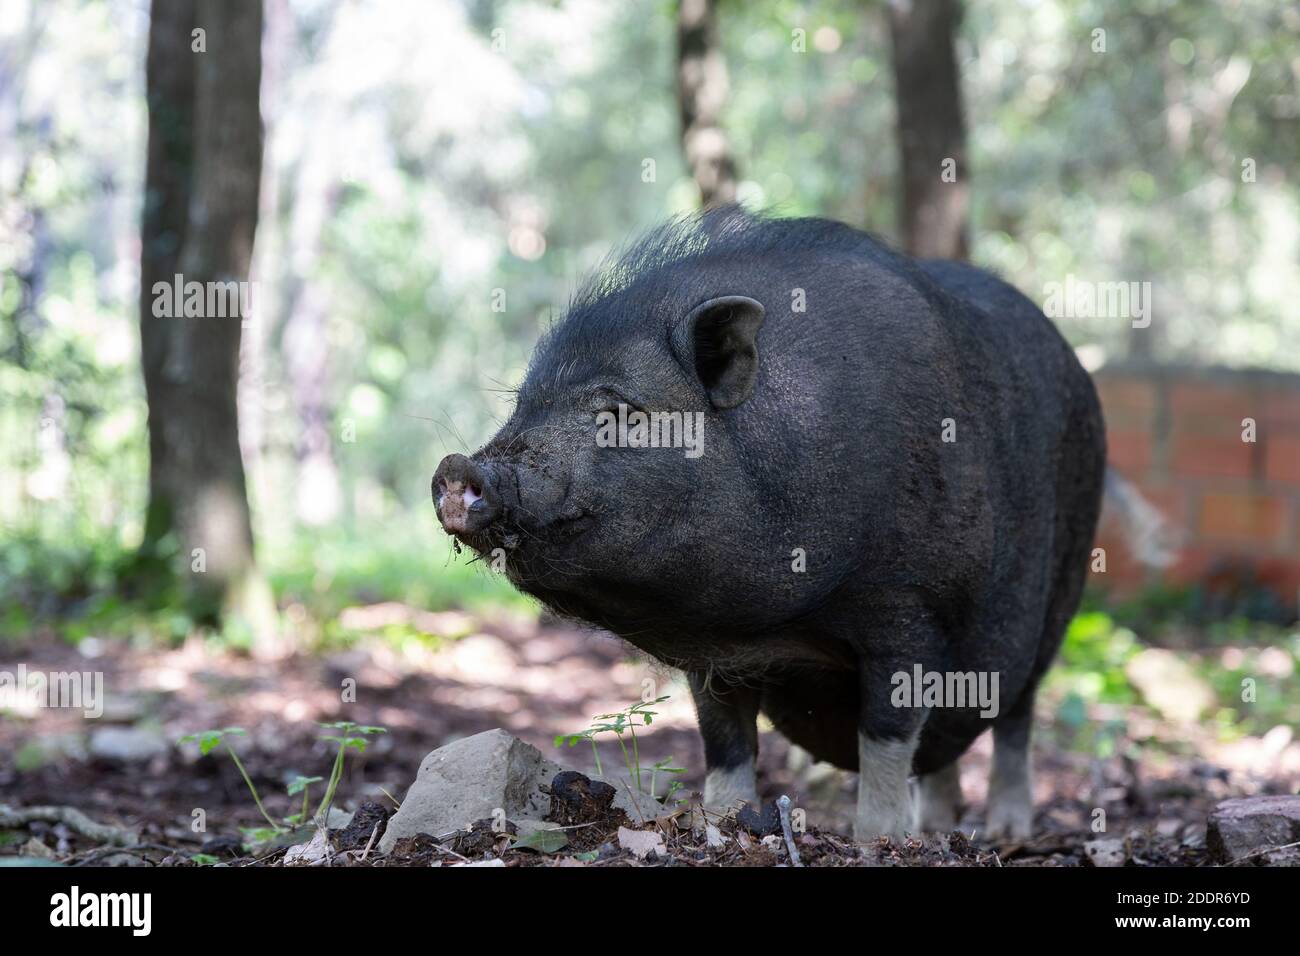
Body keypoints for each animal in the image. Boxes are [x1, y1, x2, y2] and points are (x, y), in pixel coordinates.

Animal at [433, 207, 1106, 840]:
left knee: (1016, 714)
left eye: (620, 413)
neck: (777, 625)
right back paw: (942, 826)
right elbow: (726, 739)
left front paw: (879, 838)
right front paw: (723, 819)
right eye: (522, 403)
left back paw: (1004, 830)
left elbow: (886, 734)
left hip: (1063, 588)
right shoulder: (715, 653)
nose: (457, 466)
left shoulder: (910, 606)